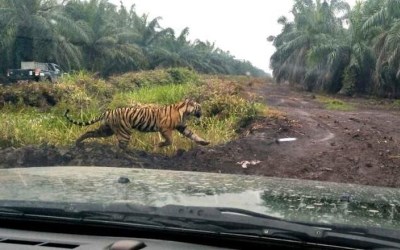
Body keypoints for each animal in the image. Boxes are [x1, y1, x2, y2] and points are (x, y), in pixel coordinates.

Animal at [63, 98, 209, 151]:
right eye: (199, 107)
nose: (202, 113)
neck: (185, 112)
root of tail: (108, 112)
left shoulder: (182, 127)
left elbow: (193, 135)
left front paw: (204, 142)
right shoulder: (165, 128)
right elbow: (169, 140)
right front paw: (159, 145)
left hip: (106, 130)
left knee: (89, 132)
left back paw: (78, 143)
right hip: (124, 132)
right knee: (121, 147)